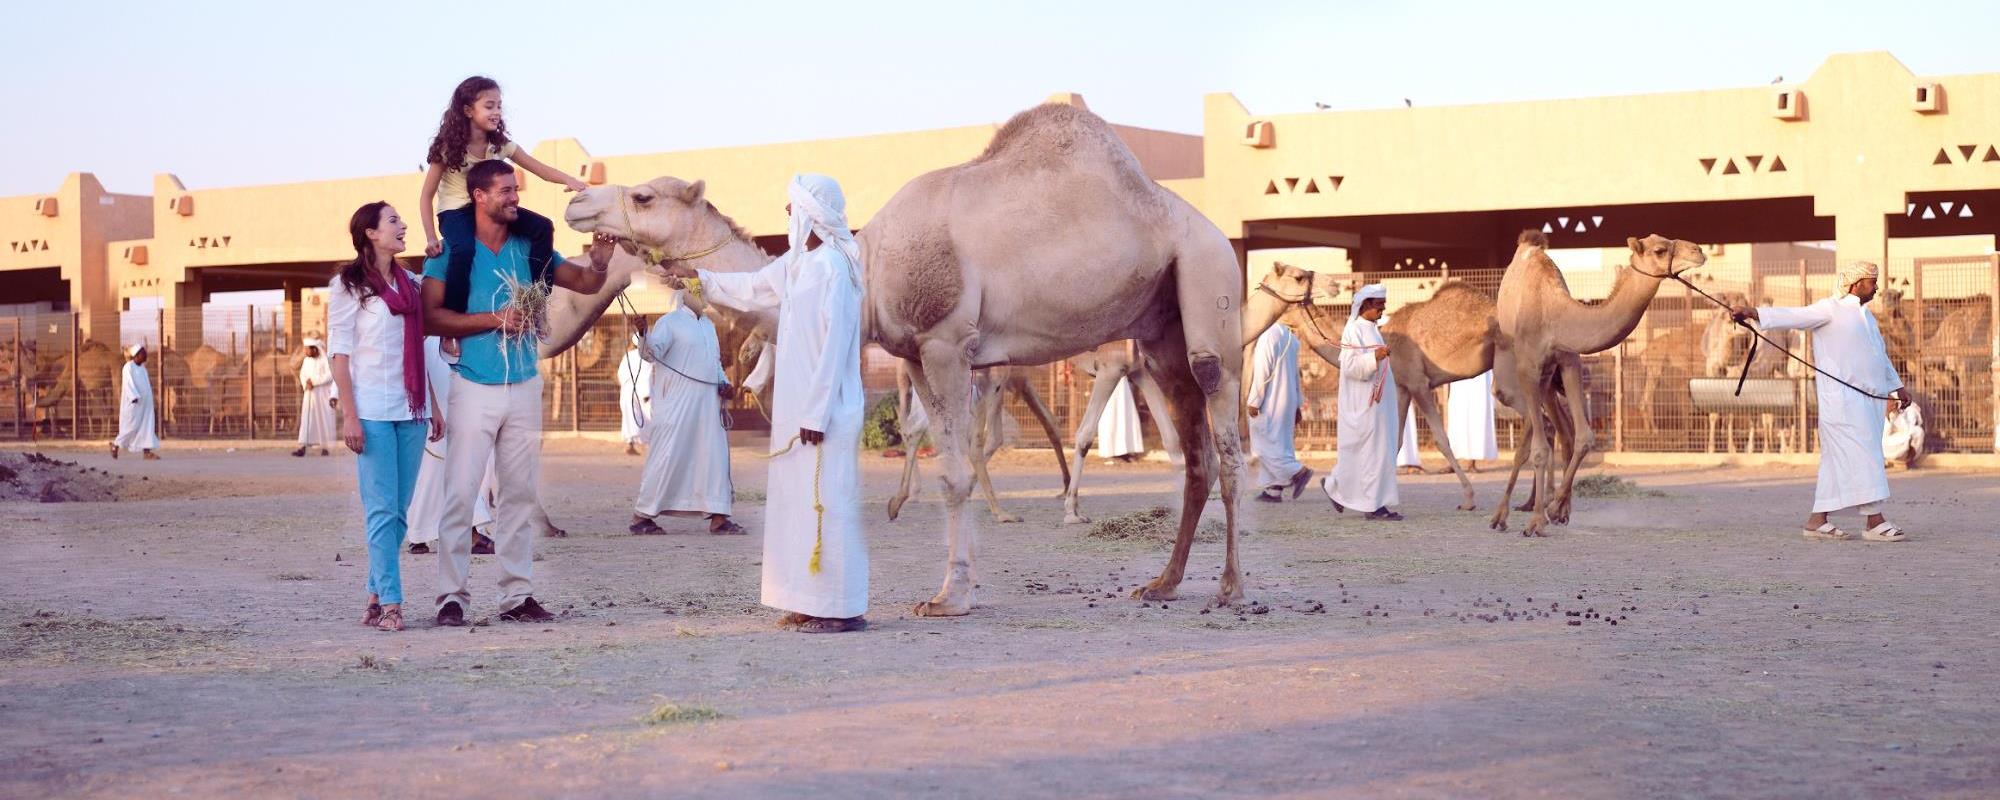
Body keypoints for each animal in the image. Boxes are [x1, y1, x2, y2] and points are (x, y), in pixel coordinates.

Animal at [564, 101, 1248, 612]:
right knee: (1194, 453)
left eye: (644, 196)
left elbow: (956, 470)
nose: (575, 203)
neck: (868, 266)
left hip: (1210, 283)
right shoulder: (917, 353)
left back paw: (1230, 588)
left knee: (1226, 437)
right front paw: (951, 585)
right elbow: (948, 460)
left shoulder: (946, 341)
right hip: (1160, 333)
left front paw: (950, 595)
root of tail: (1208, 228)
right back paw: (1163, 583)